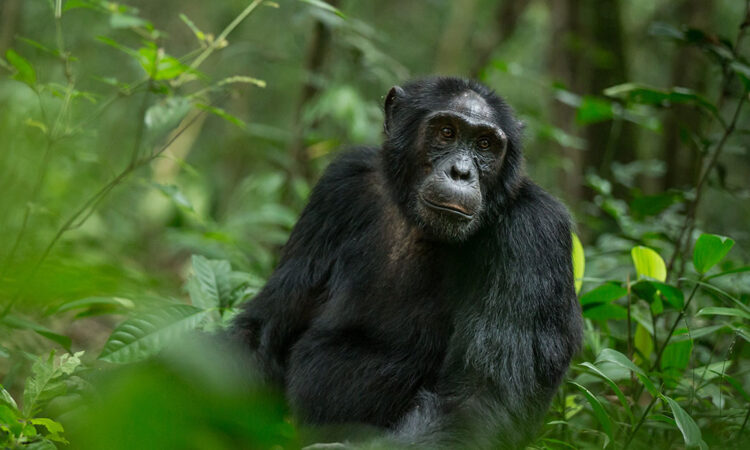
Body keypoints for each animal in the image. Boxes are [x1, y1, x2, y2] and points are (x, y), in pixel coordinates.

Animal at [232, 75, 584, 448]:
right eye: (447, 132)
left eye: (485, 144)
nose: (461, 172)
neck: (417, 223)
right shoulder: (338, 187)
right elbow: (265, 330)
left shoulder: (535, 236)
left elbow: (477, 399)